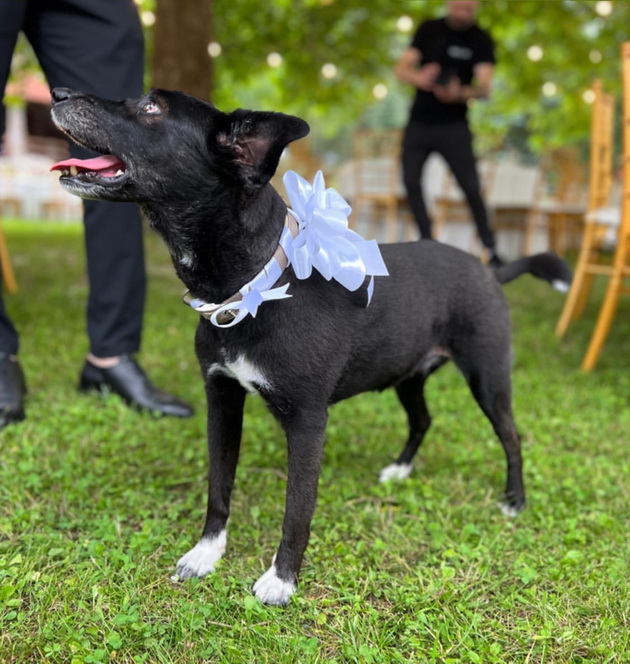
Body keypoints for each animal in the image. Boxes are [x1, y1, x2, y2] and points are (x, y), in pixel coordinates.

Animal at [50, 88, 572, 608]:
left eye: (151, 108)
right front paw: (206, 554)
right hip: (406, 374)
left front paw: (281, 580)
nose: (60, 93)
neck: (259, 284)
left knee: (511, 436)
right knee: (423, 419)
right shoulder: (222, 400)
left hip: (487, 378)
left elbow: (297, 509)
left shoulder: (307, 421)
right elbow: (219, 486)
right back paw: (401, 470)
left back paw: (514, 500)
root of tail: (489, 269)